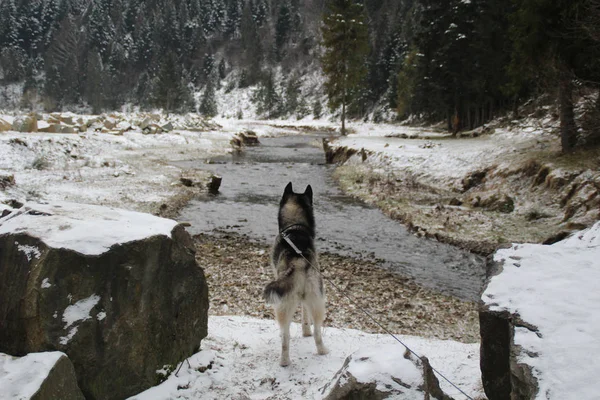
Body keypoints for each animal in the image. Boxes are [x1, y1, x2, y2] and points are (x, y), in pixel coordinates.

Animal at [262, 181, 328, 366]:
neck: (295, 227)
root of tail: (299, 261)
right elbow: (305, 316)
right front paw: (306, 331)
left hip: (282, 305)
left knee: (286, 336)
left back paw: (284, 361)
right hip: (317, 299)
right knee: (318, 331)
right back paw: (322, 351)